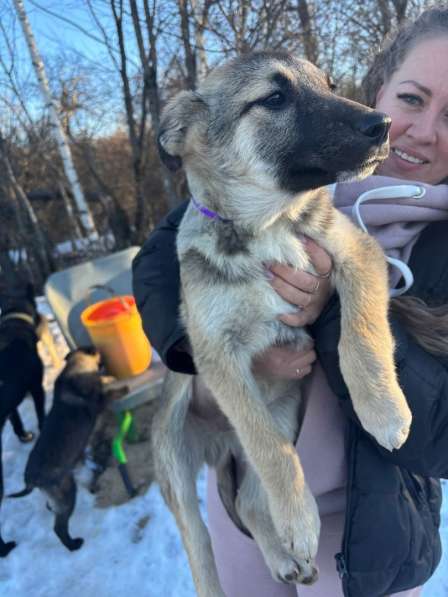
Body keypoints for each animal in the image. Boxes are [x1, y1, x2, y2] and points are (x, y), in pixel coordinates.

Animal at [8, 346, 127, 552]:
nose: (103, 359)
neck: (74, 368)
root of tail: (30, 480)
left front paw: (108, 378)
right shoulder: (97, 402)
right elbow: (106, 392)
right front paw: (119, 386)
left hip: (59, 494)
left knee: (52, 508)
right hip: (66, 492)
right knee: (59, 527)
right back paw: (73, 545)